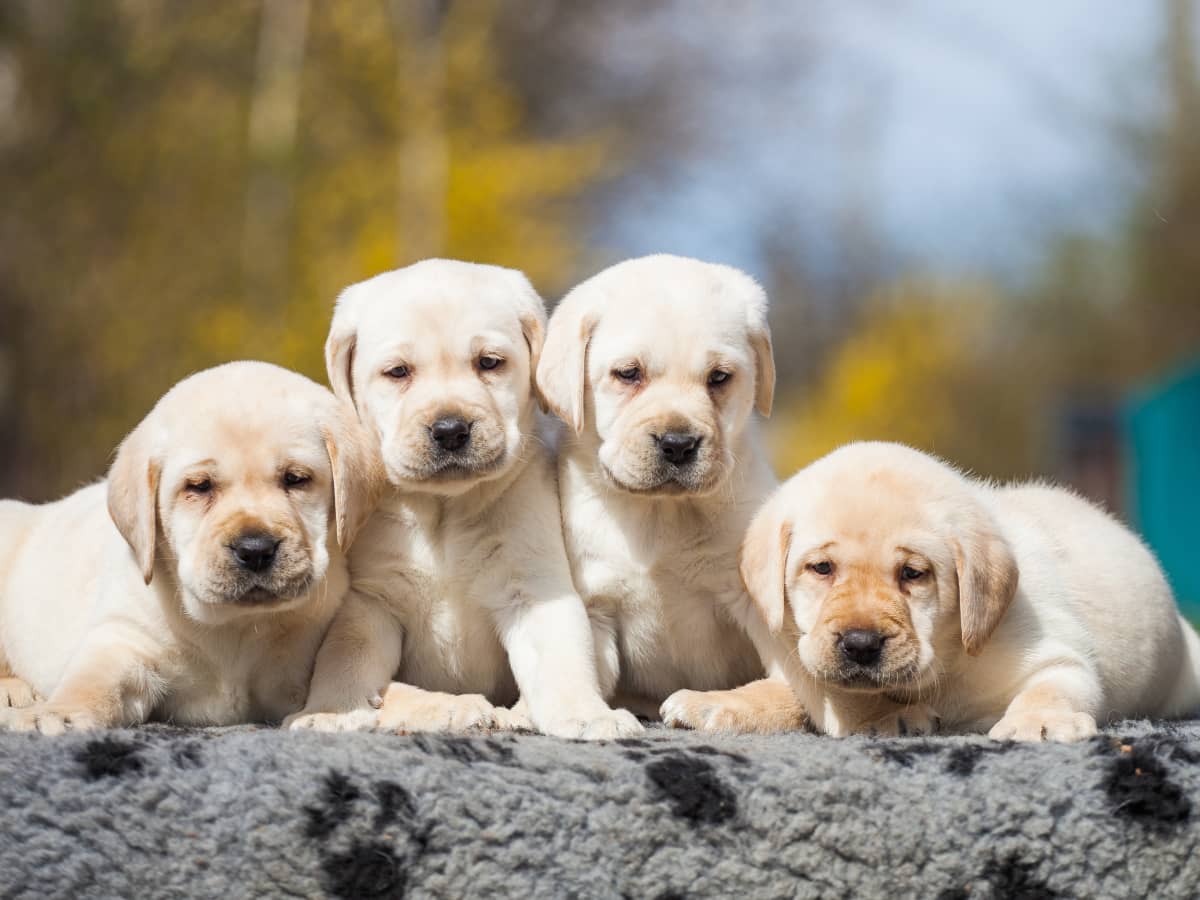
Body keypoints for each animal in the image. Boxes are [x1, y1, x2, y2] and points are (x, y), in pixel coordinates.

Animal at [0, 362, 379, 734]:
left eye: (296, 479)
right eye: (199, 486)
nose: (255, 549)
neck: (236, 626)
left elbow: (341, 661)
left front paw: (332, 709)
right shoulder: (126, 638)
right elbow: (92, 680)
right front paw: (57, 713)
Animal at [285, 259, 643, 739]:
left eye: (488, 363)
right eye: (398, 372)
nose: (451, 429)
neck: (444, 509)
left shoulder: (533, 587)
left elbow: (562, 659)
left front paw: (586, 714)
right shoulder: (370, 600)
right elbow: (344, 655)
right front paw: (329, 709)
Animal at [537, 255, 796, 724]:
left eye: (719, 377)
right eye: (628, 374)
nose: (678, 444)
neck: (661, 513)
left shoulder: (754, 600)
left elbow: (787, 682)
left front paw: (718, 704)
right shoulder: (598, 605)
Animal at [729, 441, 1200, 744]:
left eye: (913, 573)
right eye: (822, 568)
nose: (860, 644)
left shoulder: (1055, 655)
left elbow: (1052, 686)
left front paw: (1039, 722)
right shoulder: (794, 650)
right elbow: (835, 693)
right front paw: (887, 718)